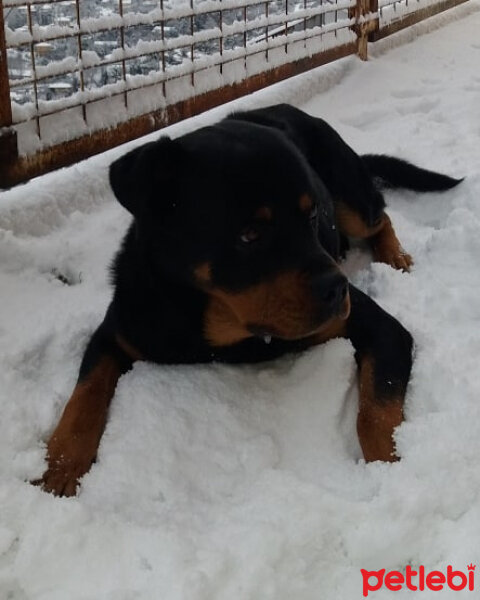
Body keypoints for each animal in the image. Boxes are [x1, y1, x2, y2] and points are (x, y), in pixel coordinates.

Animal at [36, 104, 462, 496]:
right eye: (250, 234)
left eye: (312, 216)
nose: (338, 288)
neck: (219, 329)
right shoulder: (118, 330)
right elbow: (84, 396)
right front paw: (58, 469)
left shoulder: (384, 329)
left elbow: (376, 412)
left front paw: (393, 473)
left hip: (349, 196)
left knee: (380, 217)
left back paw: (395, 256)